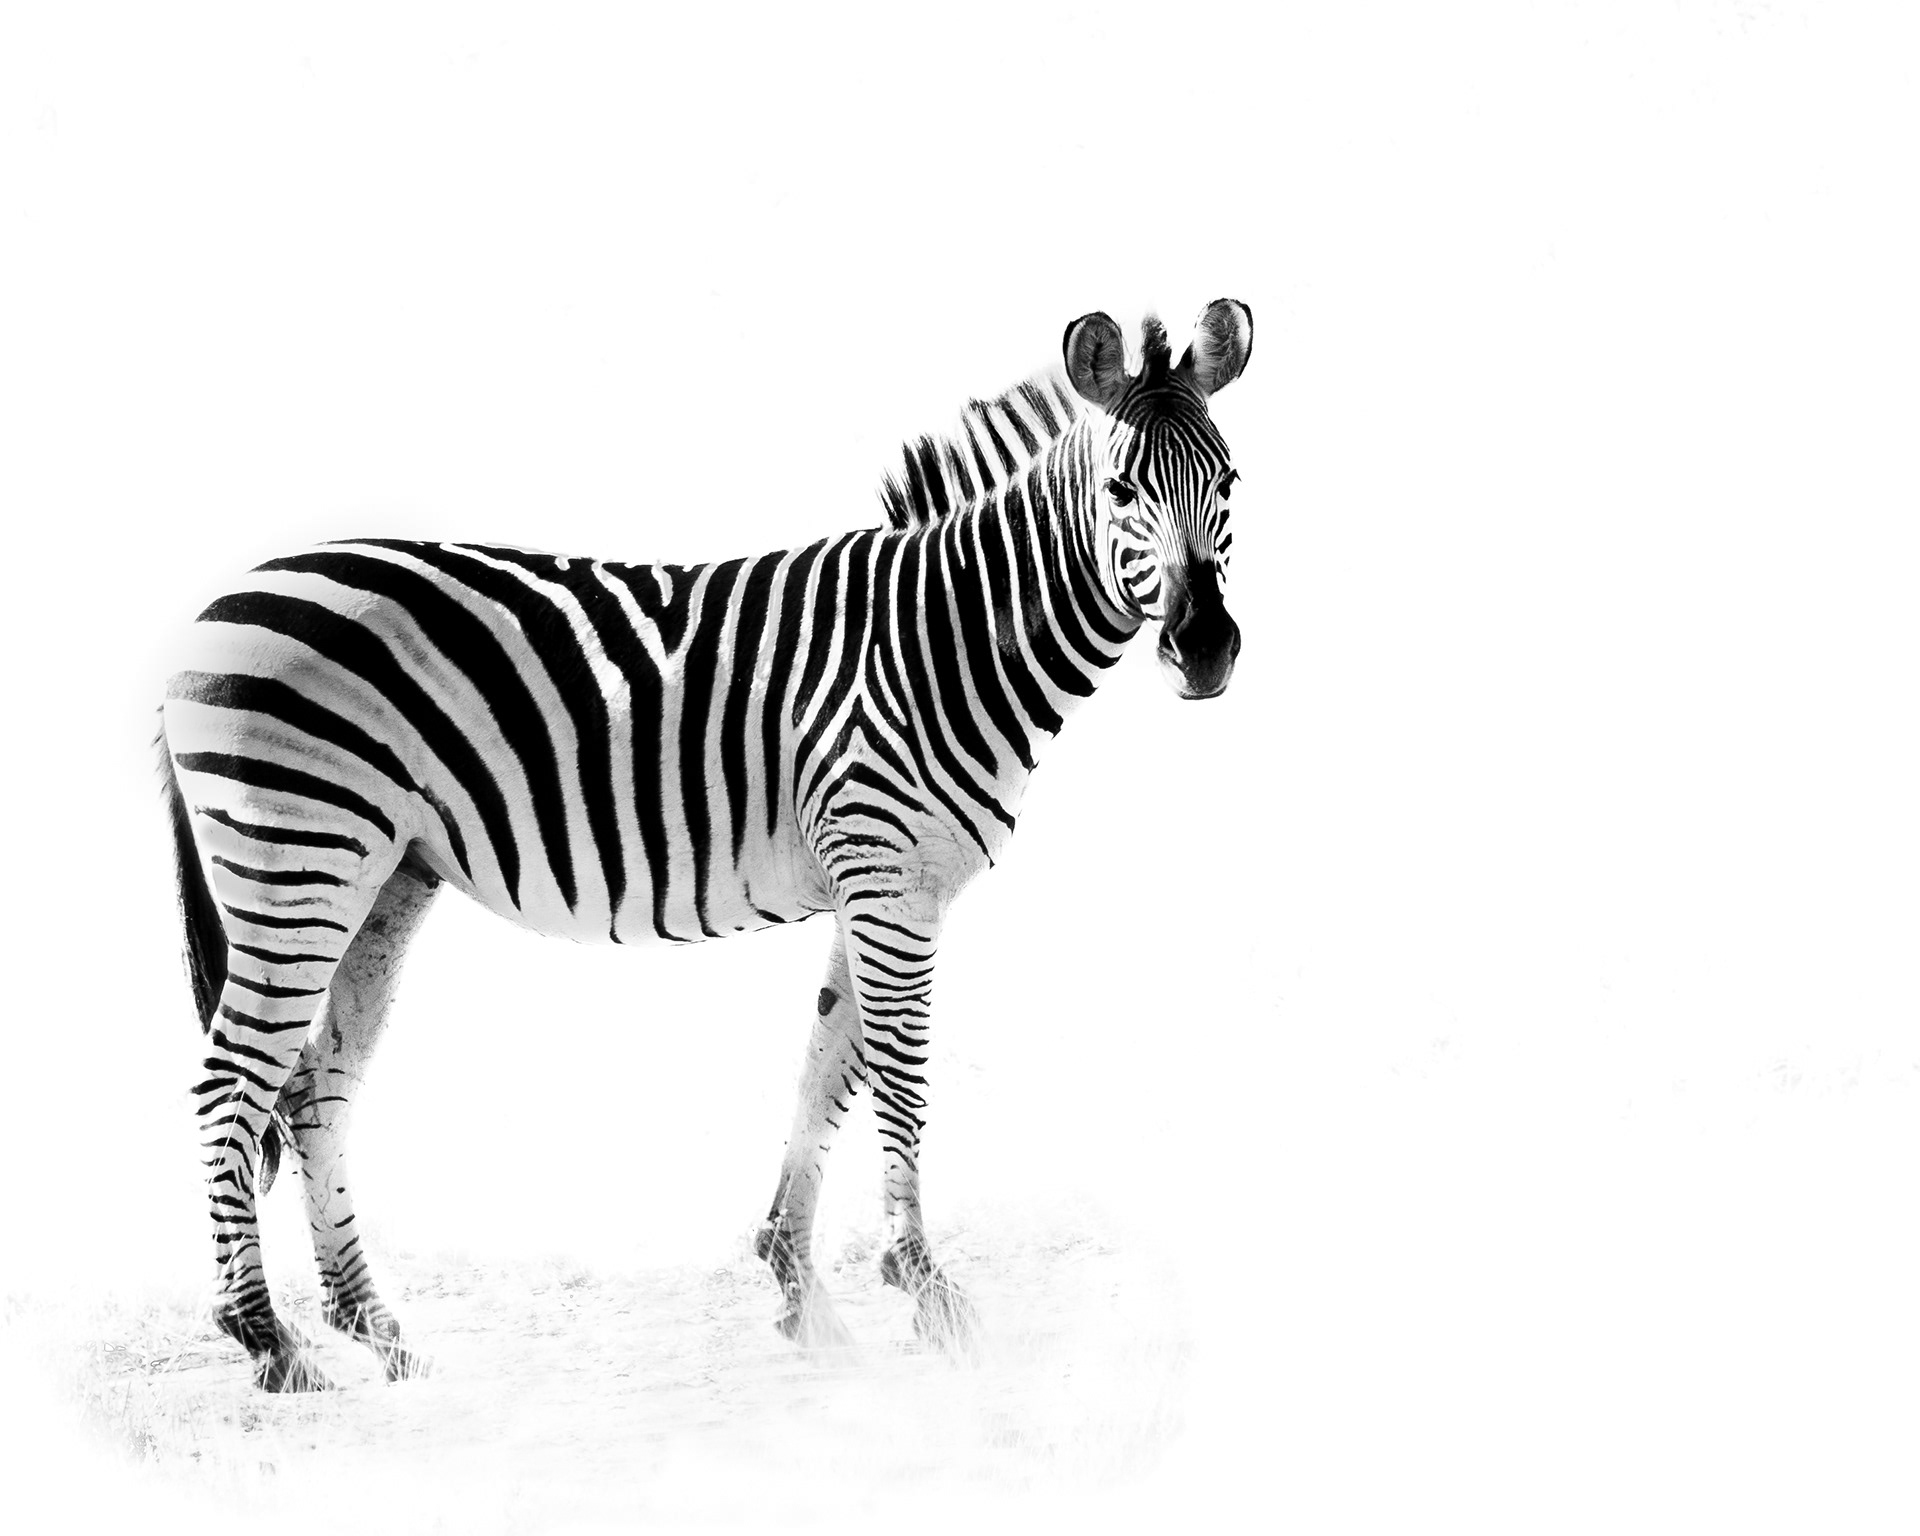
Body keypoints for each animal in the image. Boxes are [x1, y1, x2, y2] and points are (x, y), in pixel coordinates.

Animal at [158, 299, 1253, 1390]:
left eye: (1230, 482)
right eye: (1119, 491)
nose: (1204, 651)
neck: (945, 639)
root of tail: (214, 603)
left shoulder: (875, 884)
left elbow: (826, 1067)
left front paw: (799, 1288)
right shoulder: (890, 881)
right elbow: (899, 1080)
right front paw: (929, 1293)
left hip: (382, 875)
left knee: (315, 1088)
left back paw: (378, 1331)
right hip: (298, 857)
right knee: (228, 1087)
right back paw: (270, 1341)